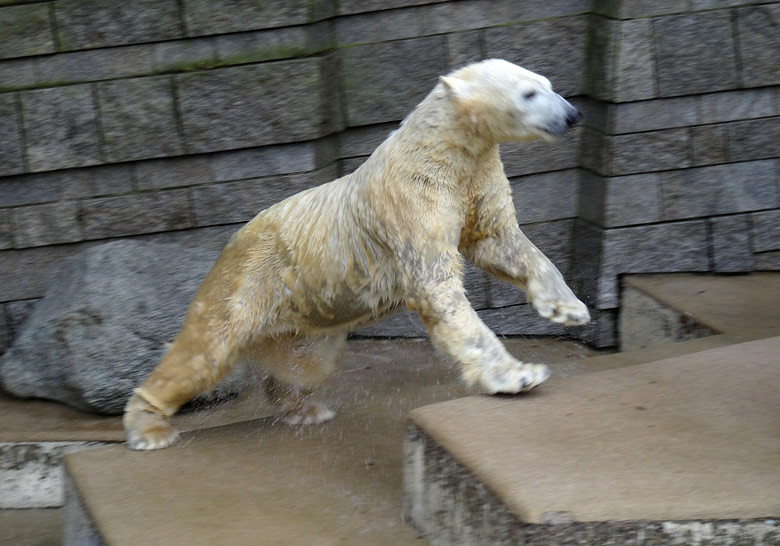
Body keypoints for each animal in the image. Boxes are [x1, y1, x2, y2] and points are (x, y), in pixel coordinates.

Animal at [123, 58, 584, 450]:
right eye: (529, 93)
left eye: (548, 84)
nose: (572, 114)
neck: (443, 147)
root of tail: (229, 245)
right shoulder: (414, 198)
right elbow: (439, 286)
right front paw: (520, 375)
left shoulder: (476, 179)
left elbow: (498, 241)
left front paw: (568, 308)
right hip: (244, 281)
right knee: (204, 352)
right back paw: (149, 429)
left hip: (303, 313)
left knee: (307, 363)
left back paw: (305, 408)